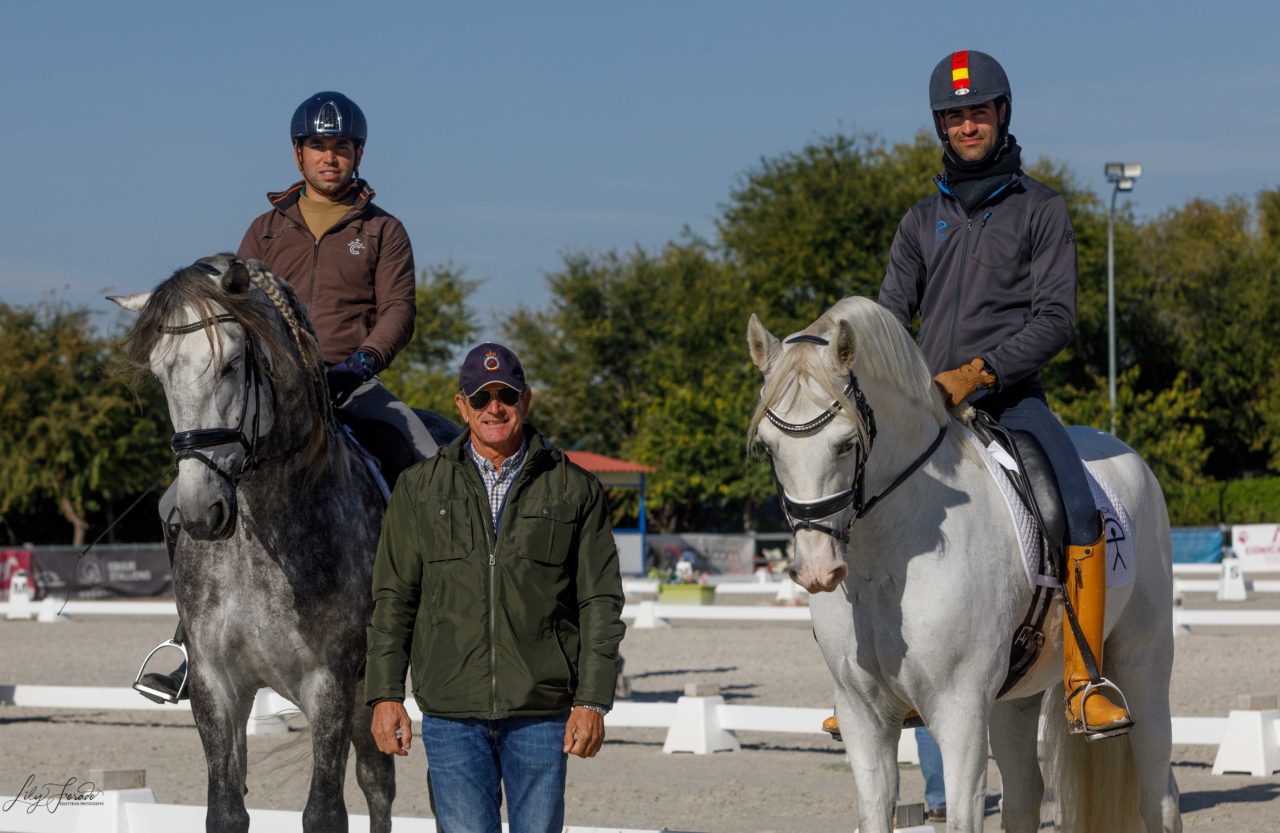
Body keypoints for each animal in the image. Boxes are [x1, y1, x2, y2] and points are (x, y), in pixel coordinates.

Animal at [111, 255, 455, 833]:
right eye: (160, 372)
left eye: (230, 364)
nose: (202, 512)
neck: (261, 535)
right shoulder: (215, 684)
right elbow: (226, 810)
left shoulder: (330, 683)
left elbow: (324, 813)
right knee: (378, 776)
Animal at [747, 298, 1177, 833]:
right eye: (769, 446)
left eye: (846, 443)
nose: (816, 571)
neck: (885, 564)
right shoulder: (862, 714)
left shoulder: (960, 711)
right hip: (1016, 696)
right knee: (1024, 798)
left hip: (1144, 663)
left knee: (1159, 794)